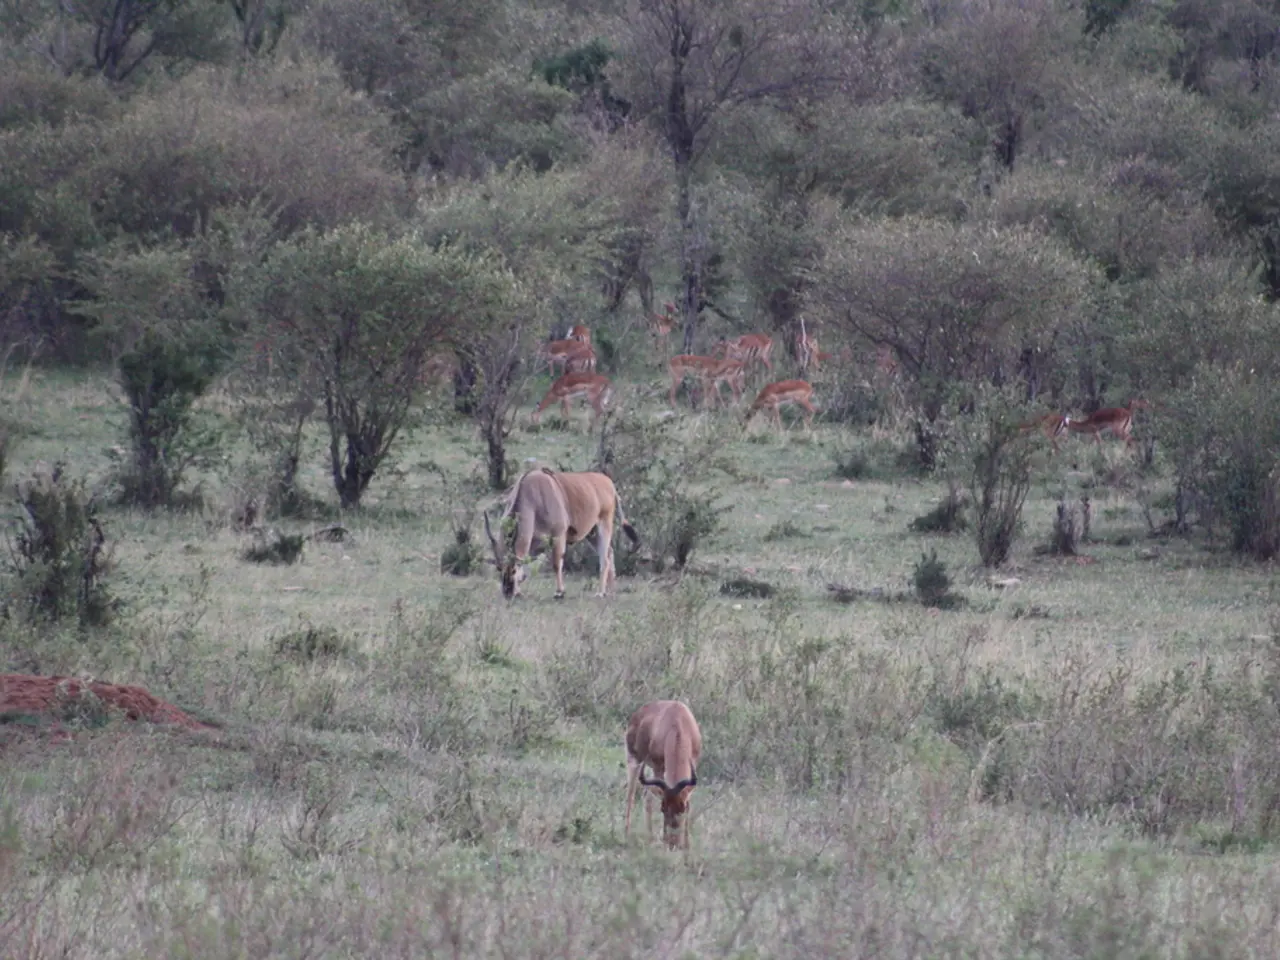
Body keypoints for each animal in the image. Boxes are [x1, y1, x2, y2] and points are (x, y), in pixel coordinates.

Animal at [484, 467, 639, 599]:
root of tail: (609, 483)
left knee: (604, 559)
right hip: (592, 533)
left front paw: (559, 592)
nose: (507, 592)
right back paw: (610, 590)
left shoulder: (558, 536)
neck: (532, 498)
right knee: (610, 552)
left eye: (513, 571)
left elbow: (556, 564)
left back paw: (600, 593)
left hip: (604, 525)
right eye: (499, 568)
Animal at [625, 700, 702, 850]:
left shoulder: (693, 764)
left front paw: (687, 846)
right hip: (634, 760)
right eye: (663, 808)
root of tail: (639, 713)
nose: (672, 843)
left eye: (682, 808)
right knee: (632, 796)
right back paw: (631, 835)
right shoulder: (658, 766)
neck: (677, 721)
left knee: (646, 797)